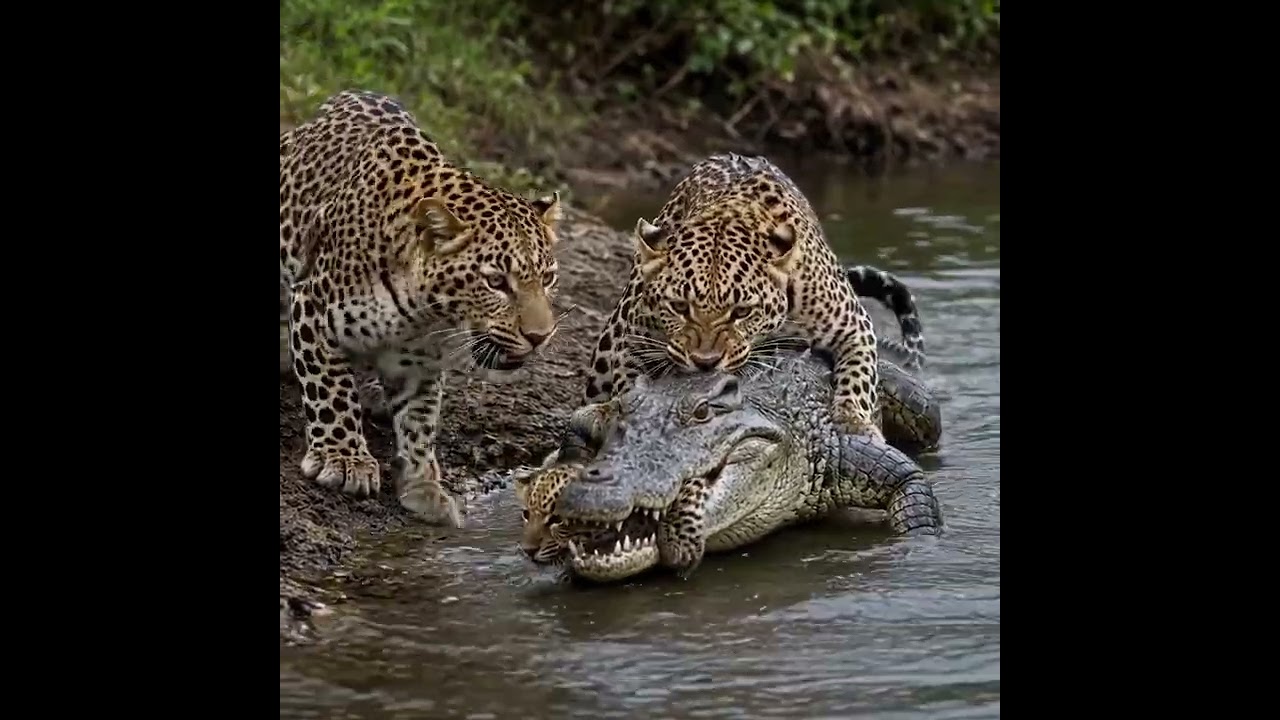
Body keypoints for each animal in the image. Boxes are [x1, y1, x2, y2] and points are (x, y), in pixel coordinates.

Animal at [280, 90, 564, 528]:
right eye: (496, 282)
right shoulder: (313, 304)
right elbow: (330, 388)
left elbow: (419, 418)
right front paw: (343, 459)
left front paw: (423, 486)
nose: (540, 337)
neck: (423, 314)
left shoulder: (420, 359)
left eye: (547, 278)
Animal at [584, 153, 889, 441]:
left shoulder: (854, 326)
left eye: (742, 312)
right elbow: (627, 380)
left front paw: (854, 420)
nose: (705, 363)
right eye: (680, 307)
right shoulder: (634, 332)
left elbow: (859, 378)